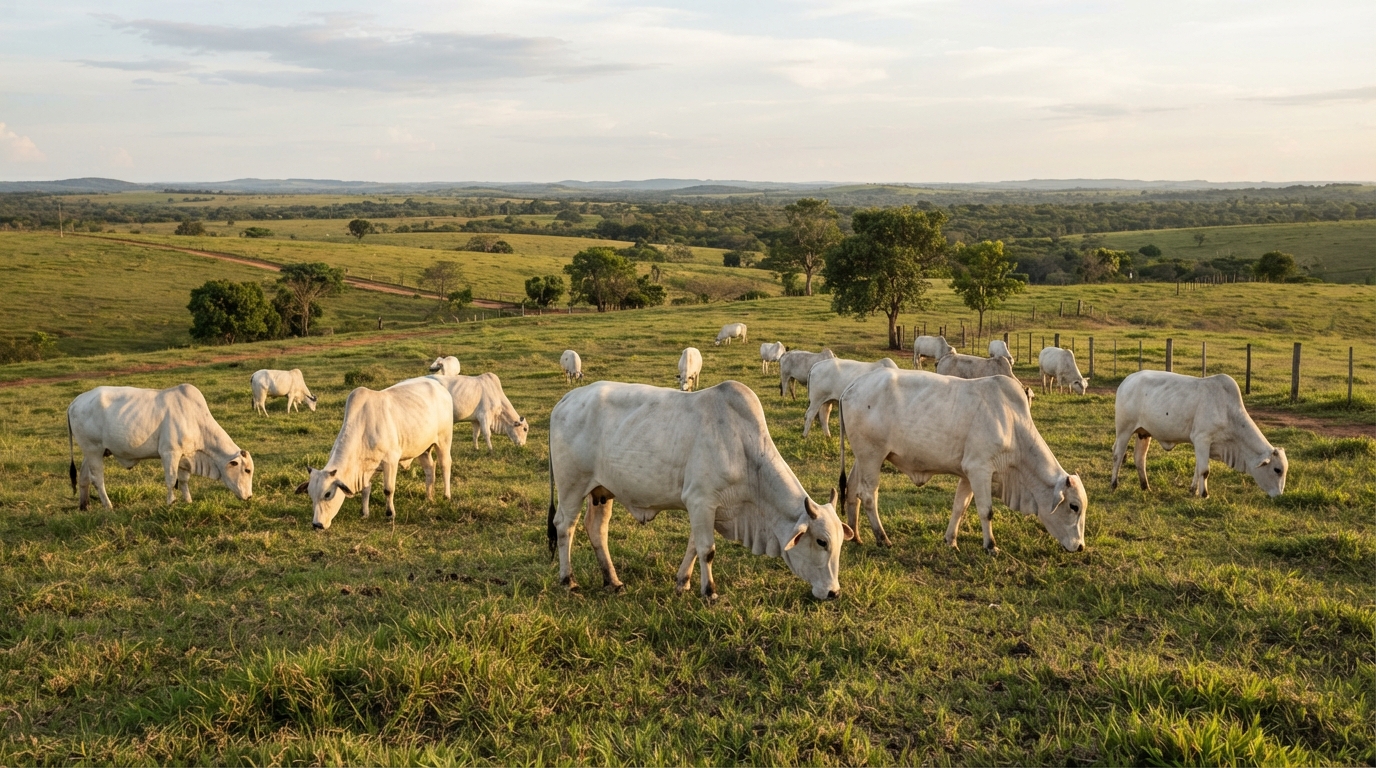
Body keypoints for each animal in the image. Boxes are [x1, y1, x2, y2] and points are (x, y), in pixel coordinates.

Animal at [67, 384, 254, 511]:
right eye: (247, 470)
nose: (249, 497)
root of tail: (75, 401)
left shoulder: (185, 456)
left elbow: (183, 480)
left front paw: (188, 501)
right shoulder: (169, 453)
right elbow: (171, 479)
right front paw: (171, 502)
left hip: (91, 452)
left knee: (84, 477)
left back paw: (84, 506)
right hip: (93, 450)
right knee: (97, 479)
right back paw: (108, 505)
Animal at [296, 376, 454, 529]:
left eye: (327, 494)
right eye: (310, 495)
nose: (317, 525)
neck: (363, 427)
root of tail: (440, 387)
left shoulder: (390, 461)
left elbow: (388, 489)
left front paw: (390, 514)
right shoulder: (366, 468)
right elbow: (366, 489)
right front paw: (365, 513)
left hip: (444, 440)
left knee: (445, 465)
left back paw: (446, 495)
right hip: (423, 448)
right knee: (430, 468)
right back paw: (429, 497)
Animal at [547, 381, 855, 600]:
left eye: (841, 542)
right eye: (822, 542)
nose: (834, 592)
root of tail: (567, 398)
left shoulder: (705, 508)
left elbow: (694, 546)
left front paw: (682, 583)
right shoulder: (701, 501)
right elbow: (707, 549)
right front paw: (709, 592)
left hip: (601, 491)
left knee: (596, 529)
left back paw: (612, 580)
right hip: (572, 486)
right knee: (564, 526)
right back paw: (568, 580)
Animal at [839, 368, 1087, 553]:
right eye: (1074, 506)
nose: (1080, 546)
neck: (1012, 423)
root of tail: (853, 386)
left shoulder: (968, 475)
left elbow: (960, 507)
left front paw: (951, 540)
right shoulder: (980, 469)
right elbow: (986, 510)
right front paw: (991, 546)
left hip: (862, 457)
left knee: (852, 489)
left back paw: (856, 535)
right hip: (872, 455)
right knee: (868, 495)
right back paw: (882, 538)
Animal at [1111, 371, 1288, 498]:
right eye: (1277, 470)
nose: (1279, 496)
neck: (1228, 412)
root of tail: (1128, 380)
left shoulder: (1205, 445)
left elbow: (1197, 468)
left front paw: (1193, 489)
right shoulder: (1202, 439)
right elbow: (1204, 470)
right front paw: (1204, 494)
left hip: (1143, 433)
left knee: (1139, 458)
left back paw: (1145, 486)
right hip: (1124, 430)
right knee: (1118, 455)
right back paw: (1114, 484)